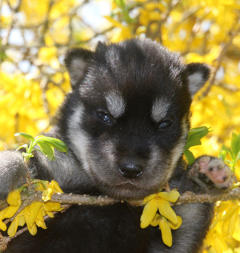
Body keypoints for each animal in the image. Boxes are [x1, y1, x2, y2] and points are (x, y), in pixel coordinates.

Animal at [1, 38, 212, 252]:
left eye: (164, 124)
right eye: (105, 116)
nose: (131, 168)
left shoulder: (174, 236)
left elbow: (192, 209)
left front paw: (206, 175)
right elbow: (19, 160)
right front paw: (6, 172)